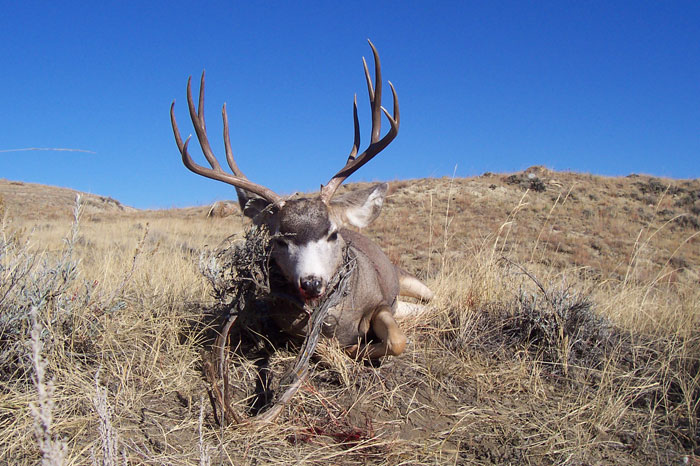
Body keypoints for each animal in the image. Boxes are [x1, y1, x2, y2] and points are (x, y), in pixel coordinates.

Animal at [170, 41, 432, 360]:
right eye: (280, 240)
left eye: (333, 234)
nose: (311, 282)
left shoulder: (381, 302)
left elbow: (397, 340)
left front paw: (357, 346)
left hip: (408, 278)